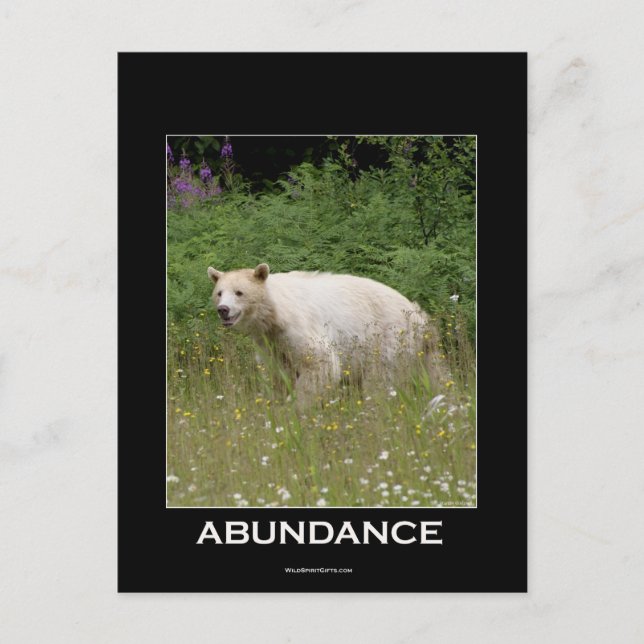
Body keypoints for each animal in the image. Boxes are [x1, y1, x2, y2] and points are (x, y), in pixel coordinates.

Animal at [207, 263, 444, 407]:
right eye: (219, 293)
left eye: (239, 292)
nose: (223, 310)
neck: (274, 315)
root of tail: (420, 317)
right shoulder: (271, 343)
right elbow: (279, 374)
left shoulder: (300, 326)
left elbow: (320, 363)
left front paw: (296, 407)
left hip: (388, 339)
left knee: (380, 379)